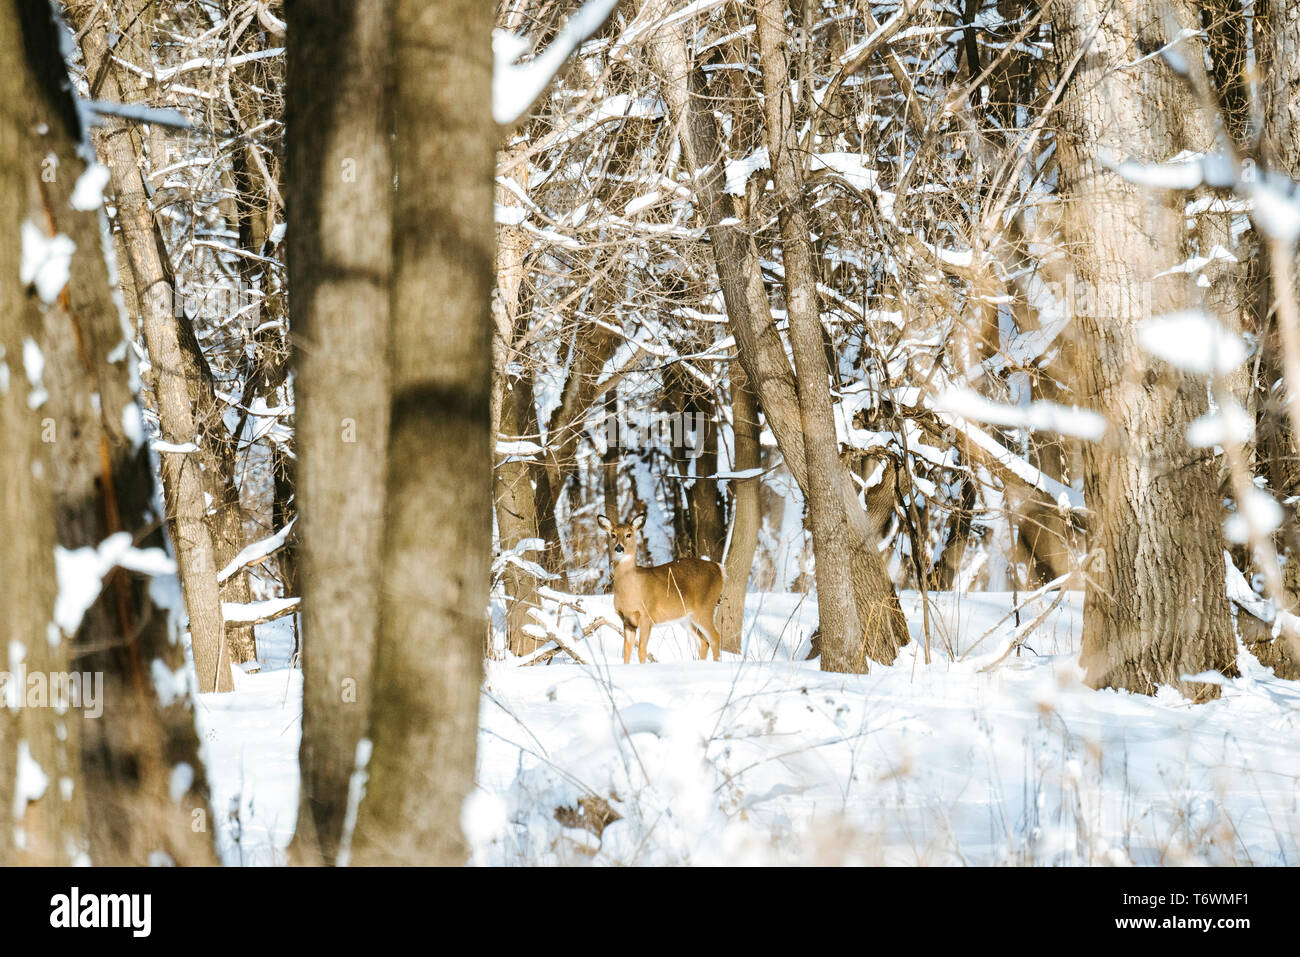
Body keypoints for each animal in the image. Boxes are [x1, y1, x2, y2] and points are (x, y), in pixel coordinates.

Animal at [598, 513, 726, 664]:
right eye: (613, 534)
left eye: (629, 534)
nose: (619, 548)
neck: (631, 590)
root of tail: (719, 568)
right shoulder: (626, 620)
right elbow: (626, 651)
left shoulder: (646, 615)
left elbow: (642, 649)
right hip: (686, 618)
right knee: (703, 642)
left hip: (705, 607)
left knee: (715, 637)